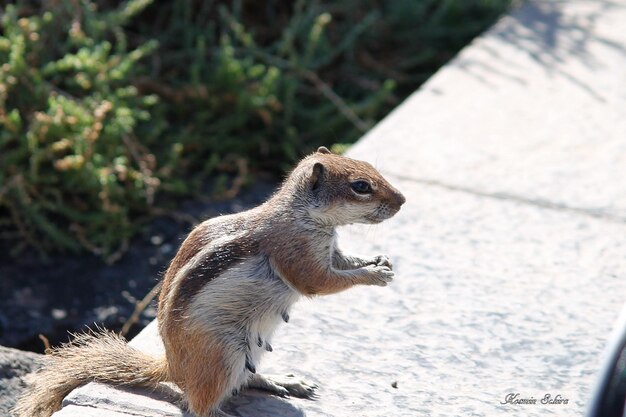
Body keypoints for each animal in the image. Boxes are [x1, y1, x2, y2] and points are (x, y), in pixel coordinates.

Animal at [14, 146, 408, 416]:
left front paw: (378, 260)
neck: (302, 214)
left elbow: (341, 263)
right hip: (222, 354)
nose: (403, 200)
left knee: (246, 379)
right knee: (200, 403)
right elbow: (318, 282)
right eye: (361, 186)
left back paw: (284, 382)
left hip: (252, 348)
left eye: (372, 169)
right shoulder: (294, 251)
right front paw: (374, 273)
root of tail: (172, 369)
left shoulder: (329, 249)